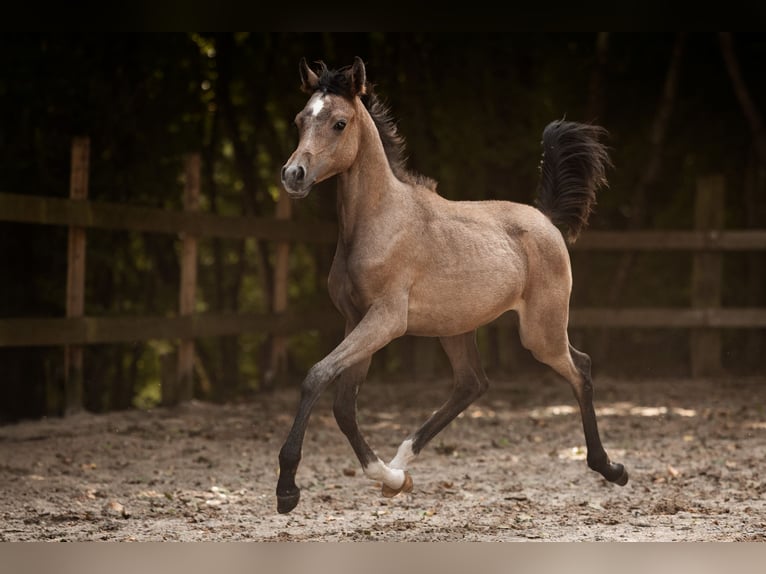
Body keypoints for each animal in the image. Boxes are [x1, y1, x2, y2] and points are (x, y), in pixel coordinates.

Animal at [276, 56, 628, 514]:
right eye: (301, 119)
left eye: (339, 123)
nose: (293, 175)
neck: (380, 221)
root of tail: (546, 219)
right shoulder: (356, 320)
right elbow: (343, 407)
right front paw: (390, 480)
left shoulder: (385, 320)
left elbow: (316, 377)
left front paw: (286, 489)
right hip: (457, 328)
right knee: (471, 383)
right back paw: (401, 464)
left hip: (541, 332)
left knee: (580, 368)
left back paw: (611, 469)